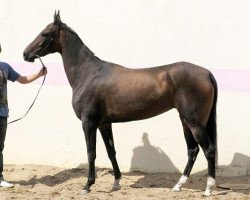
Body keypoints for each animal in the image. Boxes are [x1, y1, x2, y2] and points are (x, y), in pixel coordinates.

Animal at [24, 11, 218, 196]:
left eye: (45, 33)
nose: (25, 54)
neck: (88, 73)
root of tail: (207, 73)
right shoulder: (104, 124)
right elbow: (111, 152)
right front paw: (116, 183)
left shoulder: (89, 123)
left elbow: (91, 153)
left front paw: (87, 185)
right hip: (185, 121)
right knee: (193, 150)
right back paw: (178, 185)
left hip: (194, 123)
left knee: (208, 150)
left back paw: (208, 188)